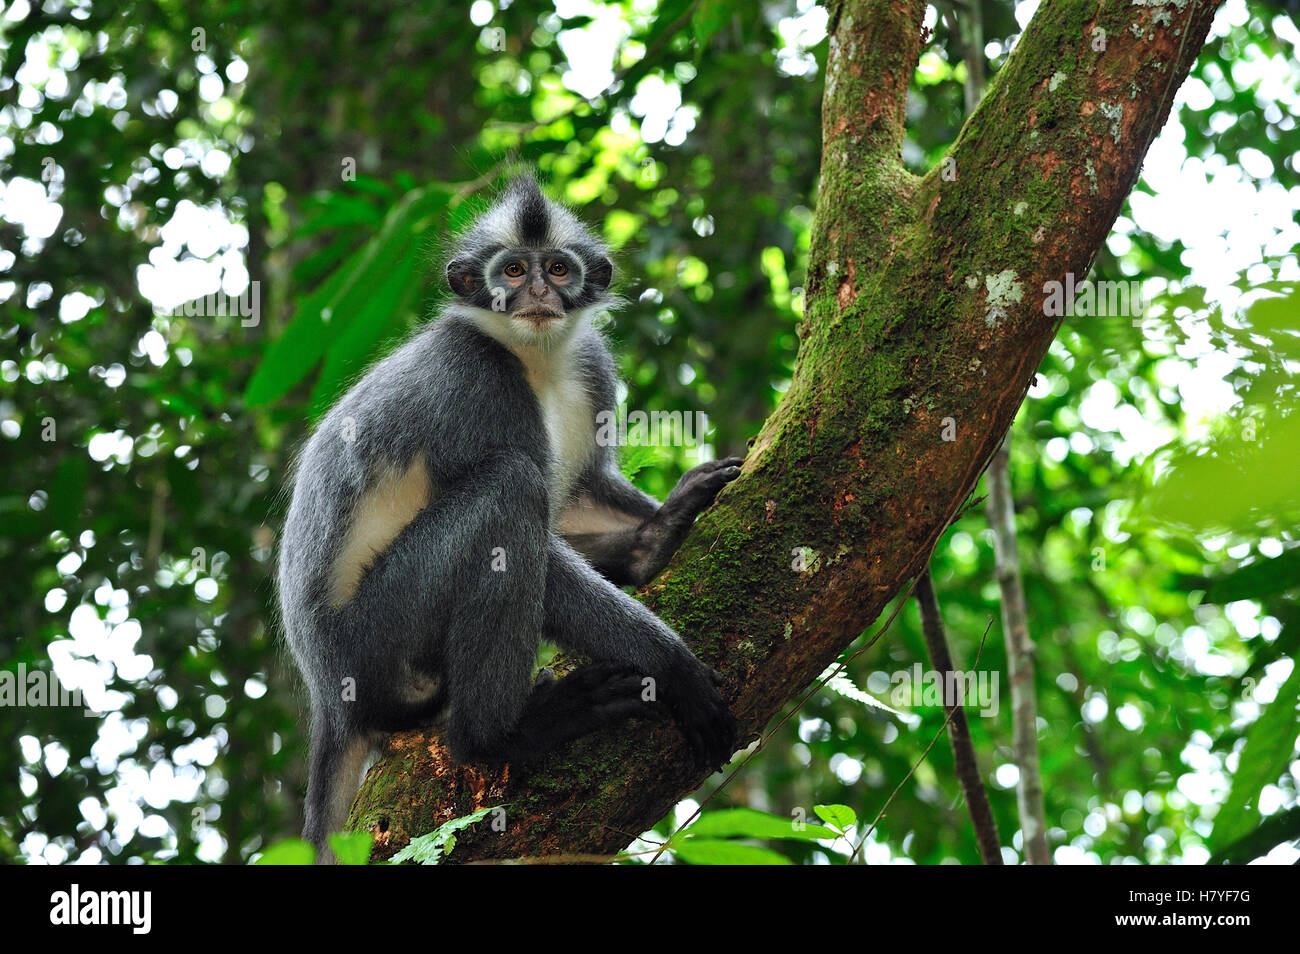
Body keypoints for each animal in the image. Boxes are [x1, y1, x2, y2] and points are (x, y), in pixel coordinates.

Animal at [277, 174, 742, 858]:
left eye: (558, 268)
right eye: (514, 271)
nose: (540, 294)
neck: (534, 358)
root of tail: (329, 698)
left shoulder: (590, 365)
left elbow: (582, 492)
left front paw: (656, 536)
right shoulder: (476, 382)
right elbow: (539, 534)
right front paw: (670, 663)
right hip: (374, 637)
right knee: (511, 489)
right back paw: (498, 736)